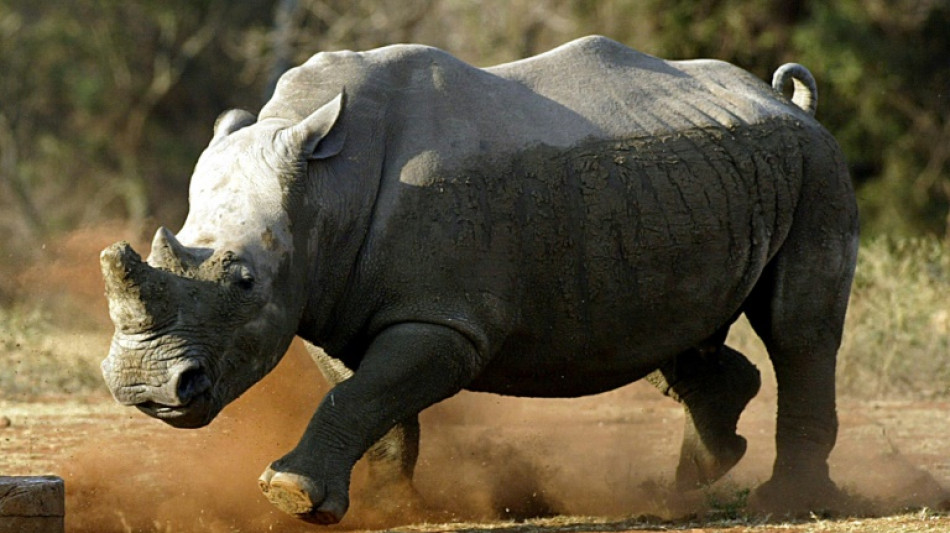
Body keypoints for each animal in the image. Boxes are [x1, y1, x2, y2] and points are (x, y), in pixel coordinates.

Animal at [100, 36, 858, 524]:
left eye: (243, 282)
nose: (144, 388)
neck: (325, 187)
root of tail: (789, 102)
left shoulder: (444, 319)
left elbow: (361, 395)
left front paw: (290, 493)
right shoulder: (331, 300)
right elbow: (372, 403)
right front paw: (385, 508)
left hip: (818, 166)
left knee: (797, 330)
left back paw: (790, 503)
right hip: (692, 182)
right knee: (666, 327)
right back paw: (688, 485)